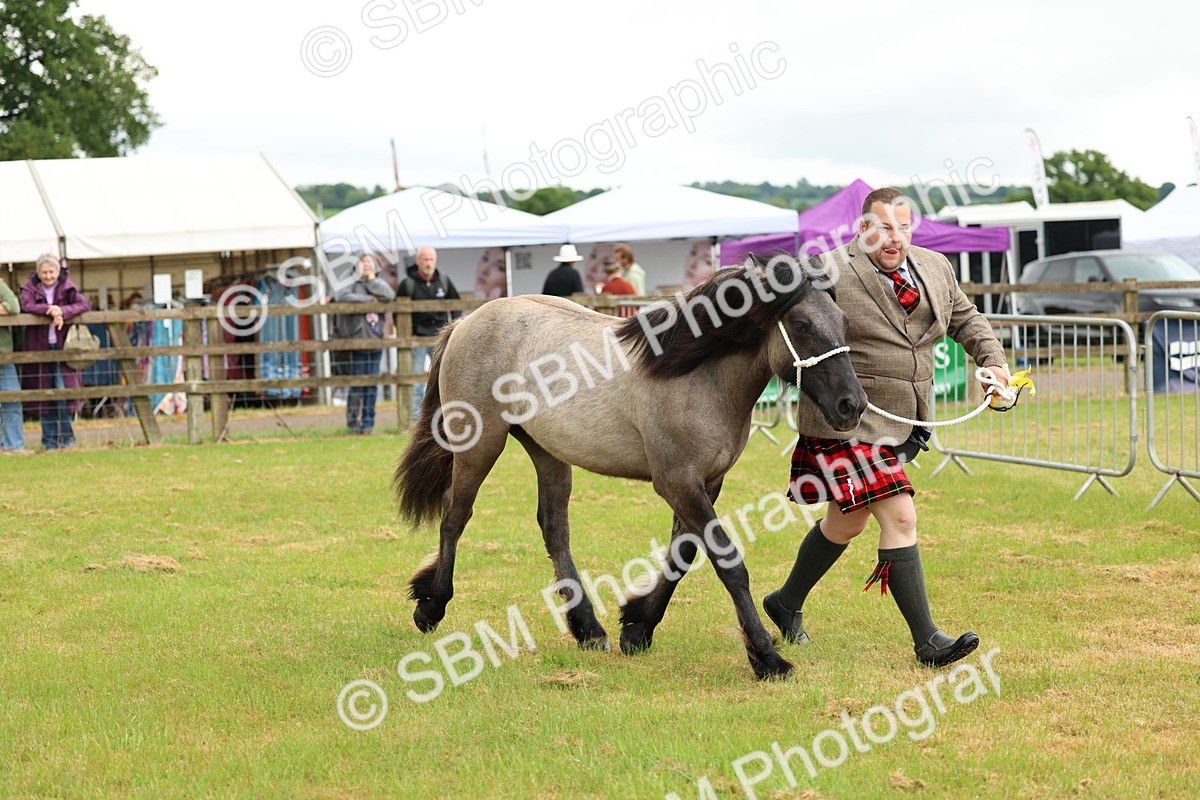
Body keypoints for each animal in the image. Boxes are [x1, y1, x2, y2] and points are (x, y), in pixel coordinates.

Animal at [394, 254, 867, 679]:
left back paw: (588, 629)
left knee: (553, 527)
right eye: (801, 325)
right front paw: (768, 658)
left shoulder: (706, 483)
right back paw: (431, 607)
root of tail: (465, 322)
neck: (696, 376)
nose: (853, 406)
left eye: (844, 321)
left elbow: (683, 554)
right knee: (455, 514)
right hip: (479, 445)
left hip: (546, 451)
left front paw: (637, 628)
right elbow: (728, 563)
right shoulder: (678, 483)